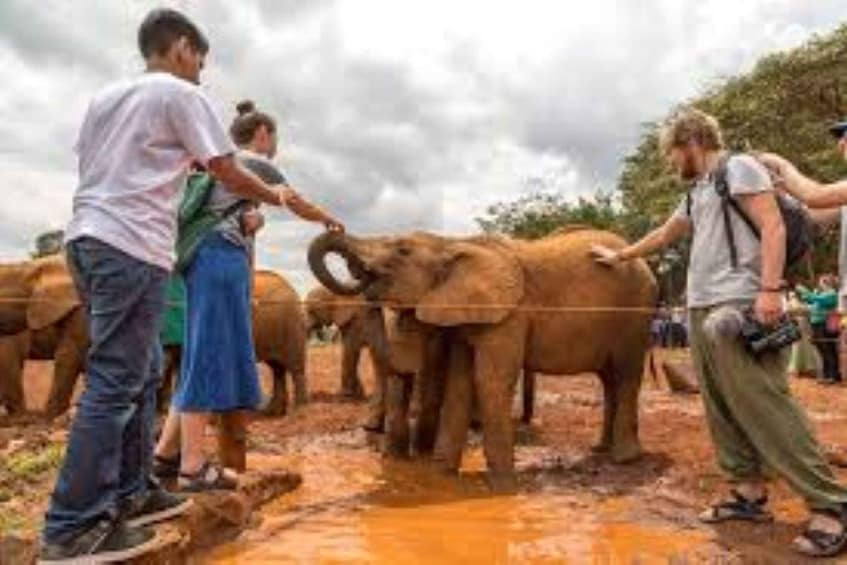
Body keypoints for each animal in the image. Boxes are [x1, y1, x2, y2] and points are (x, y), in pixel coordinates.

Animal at [157, 268, 306, 414]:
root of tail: (289, 286)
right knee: (277, 368)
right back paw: (273, 411)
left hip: (292, 326)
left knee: (294, 368)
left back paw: (299, 411)